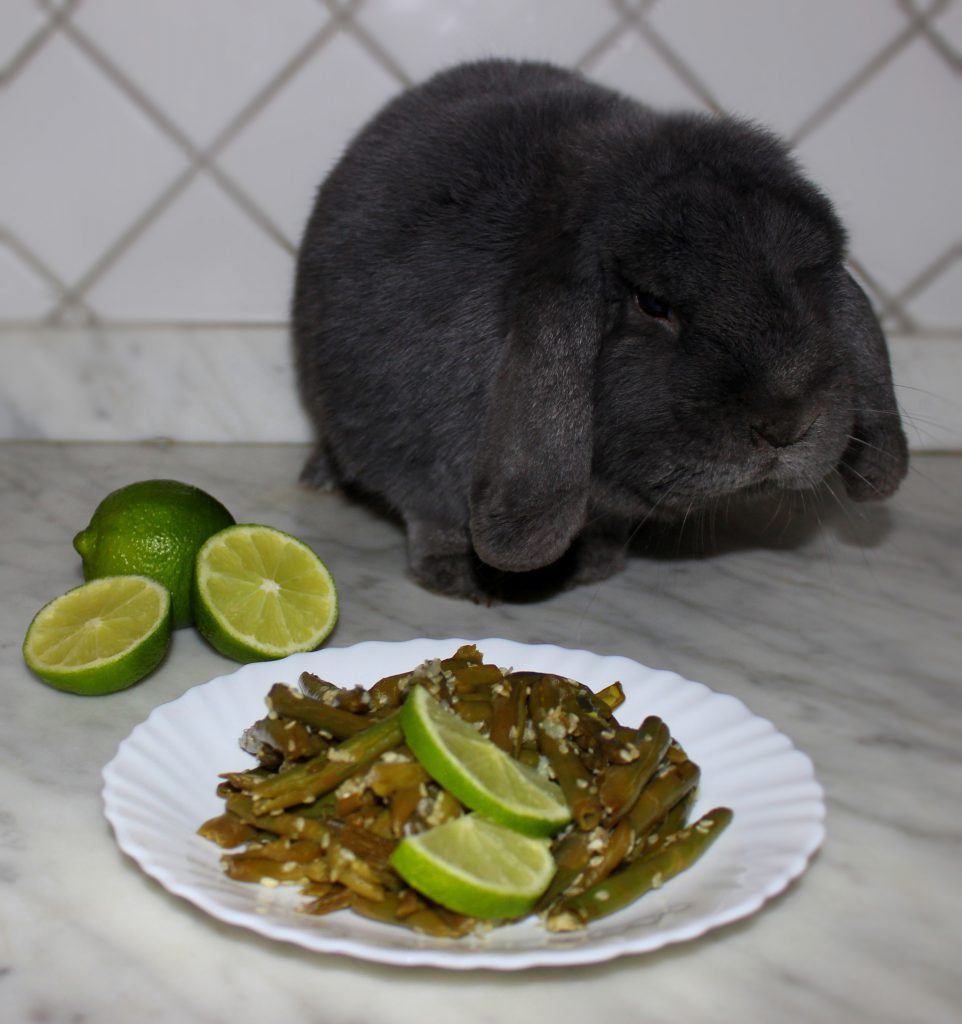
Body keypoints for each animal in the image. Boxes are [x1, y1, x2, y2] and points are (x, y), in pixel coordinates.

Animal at [293, 58, 909, 598]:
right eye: (653, 303)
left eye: (811, 283)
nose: (787, 422)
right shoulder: (412, 461)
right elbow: (433, 522)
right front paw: (457, 577)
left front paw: (595, 564)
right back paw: (319, 476)